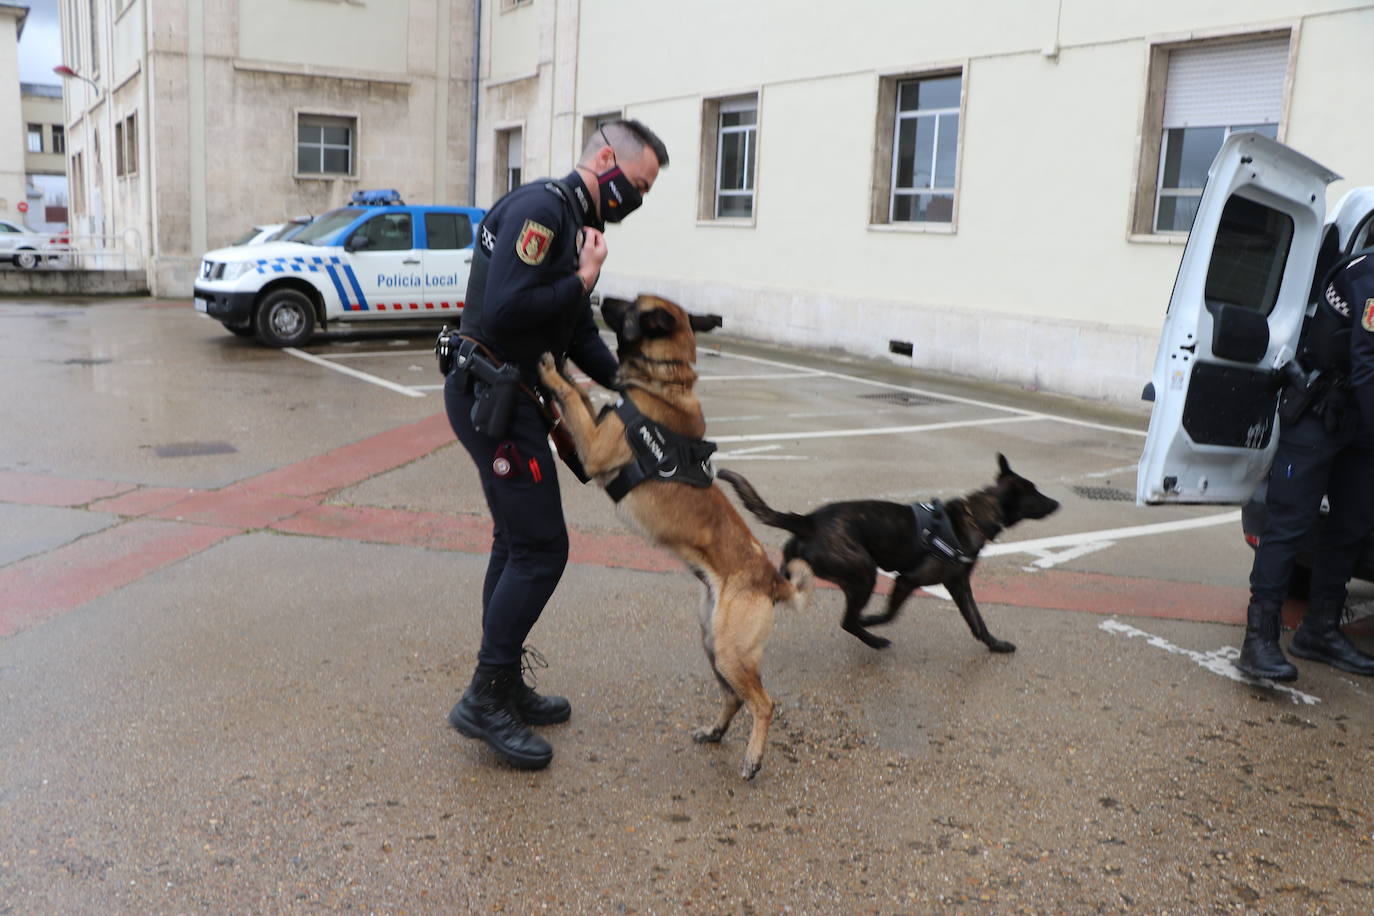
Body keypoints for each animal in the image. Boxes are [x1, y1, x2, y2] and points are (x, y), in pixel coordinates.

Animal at [535, 293, 807, 780]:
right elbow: (581, 394)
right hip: (713, 643)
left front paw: (551, 370)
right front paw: (564, 366)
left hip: (732, 652)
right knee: (734, 697)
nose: (597, 296)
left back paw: (753, 758)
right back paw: (714, 732)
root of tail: (773, 580)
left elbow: (570, 396)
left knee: (764, 702)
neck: (662, 384)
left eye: (631, 307)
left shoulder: (594, 449)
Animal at [719, 455, 1060, 650]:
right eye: (1035, 494)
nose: (1058, 503)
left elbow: (977, 621)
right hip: (864, 573)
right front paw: (872, 621)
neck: (975, 515)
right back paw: (872, 639)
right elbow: (890, 613)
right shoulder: (907, 580)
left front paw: (995, 645)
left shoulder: (959, 585)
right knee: (848, 621)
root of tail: (809, 521)